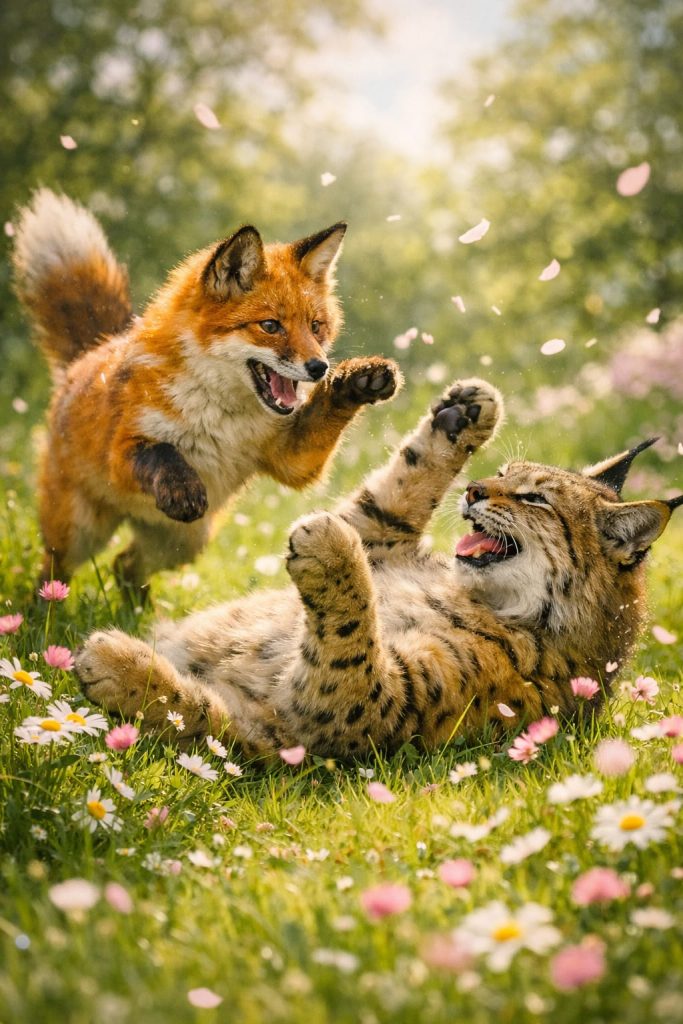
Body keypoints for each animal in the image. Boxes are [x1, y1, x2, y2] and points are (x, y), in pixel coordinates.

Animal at [12, 189, 400, 597]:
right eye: (270, 326)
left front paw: (357, 382)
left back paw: (137, 608)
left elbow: (319, 426)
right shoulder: (121, 450)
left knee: (124, 566)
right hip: (79, 533)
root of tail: (93, 350)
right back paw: (44, 608)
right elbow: (163, 453)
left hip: (183, 544)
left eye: (315, 326)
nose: (319, 367)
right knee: (54, 570)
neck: (223, 415)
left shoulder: (290, 459)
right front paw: (183, 488)